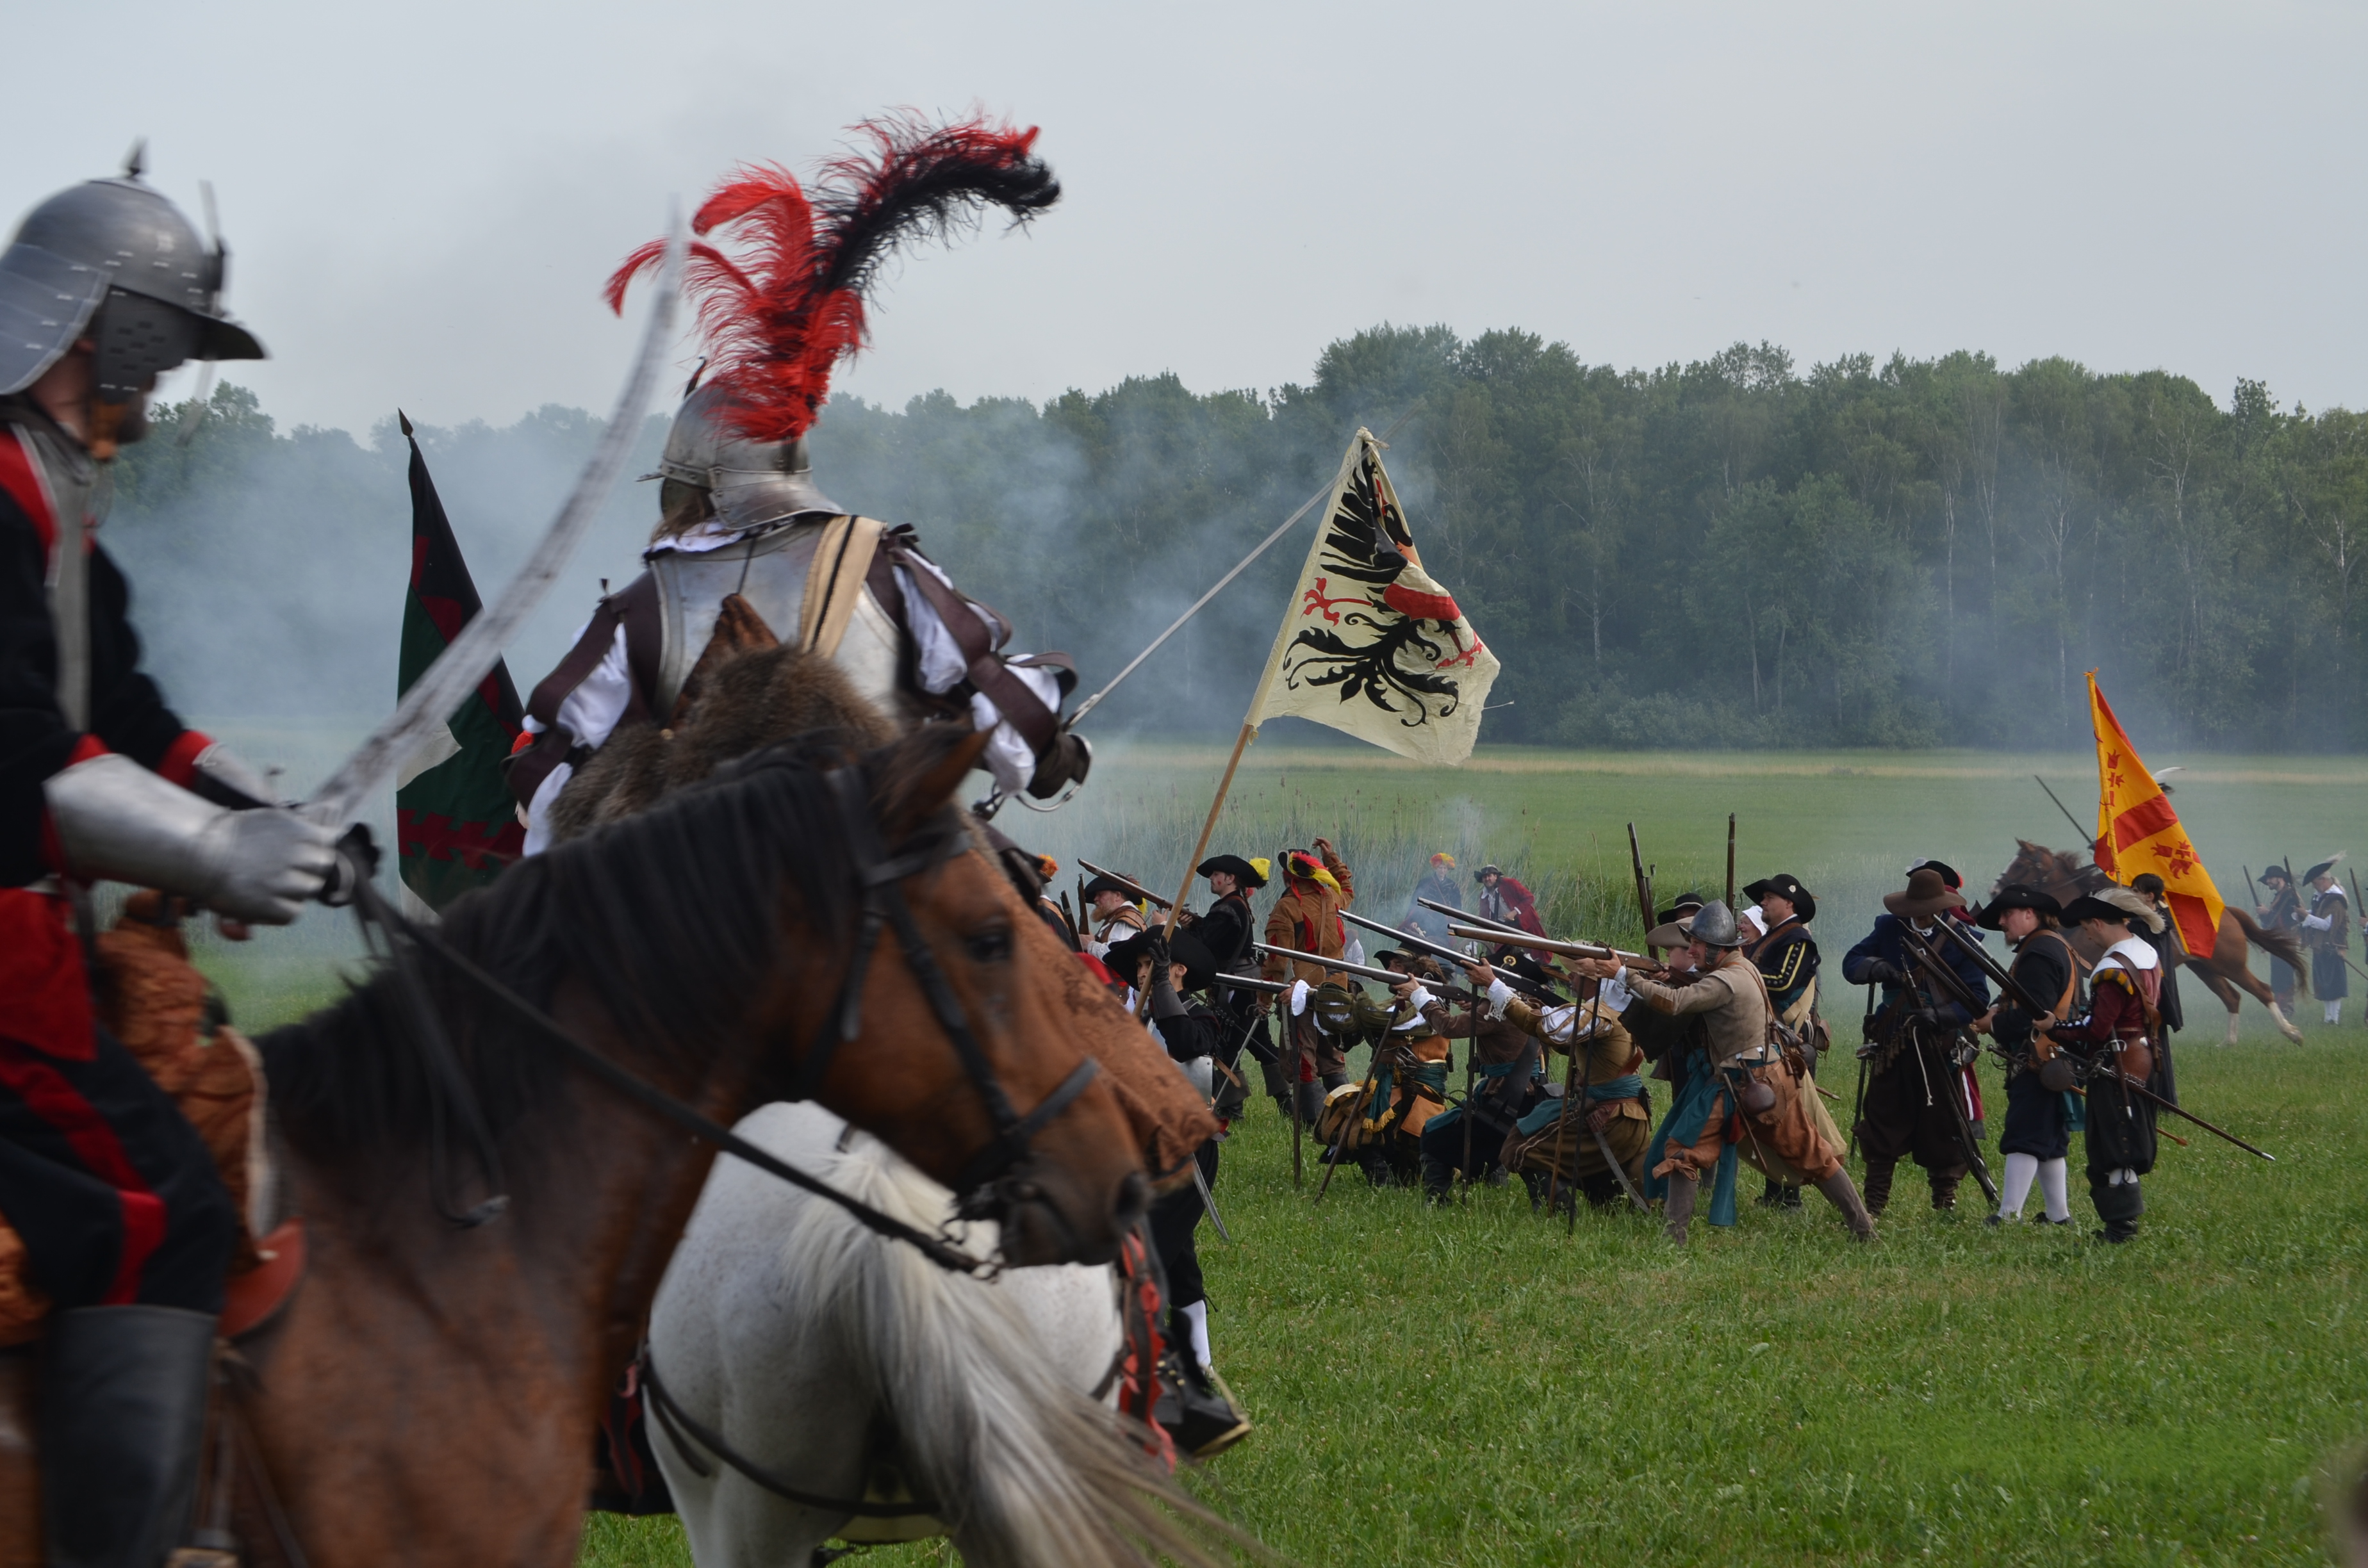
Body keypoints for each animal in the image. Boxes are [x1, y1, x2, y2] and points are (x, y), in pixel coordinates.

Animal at [1989, 843, 2301, 1051]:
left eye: (2020, 865)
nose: (1995, 891)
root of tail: (2229, 913)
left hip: (2230, 964)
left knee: (2263, 990)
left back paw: (2291, 1033)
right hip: (2205, 969)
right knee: (2232, 997)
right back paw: (2228, 1042)